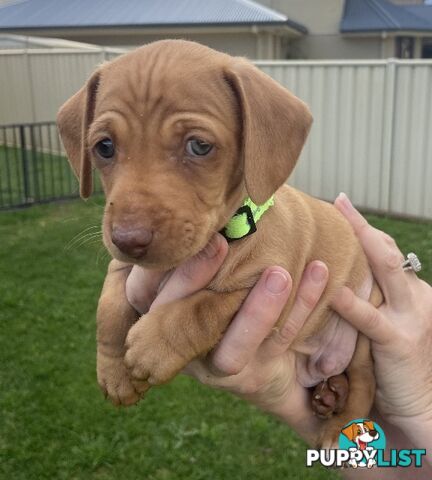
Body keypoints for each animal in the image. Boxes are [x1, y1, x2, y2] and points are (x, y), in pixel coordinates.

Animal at [56, 39, 382, 448]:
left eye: (199, 146)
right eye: (103, 147)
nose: (128, 239)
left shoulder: (277, 286)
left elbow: (205, 307)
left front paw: (154, 344)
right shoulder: (123, 267)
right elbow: (110, 308)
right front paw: (114, 370)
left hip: (366, 327)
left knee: (365, 380)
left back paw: (342, 424)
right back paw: (330, 394)